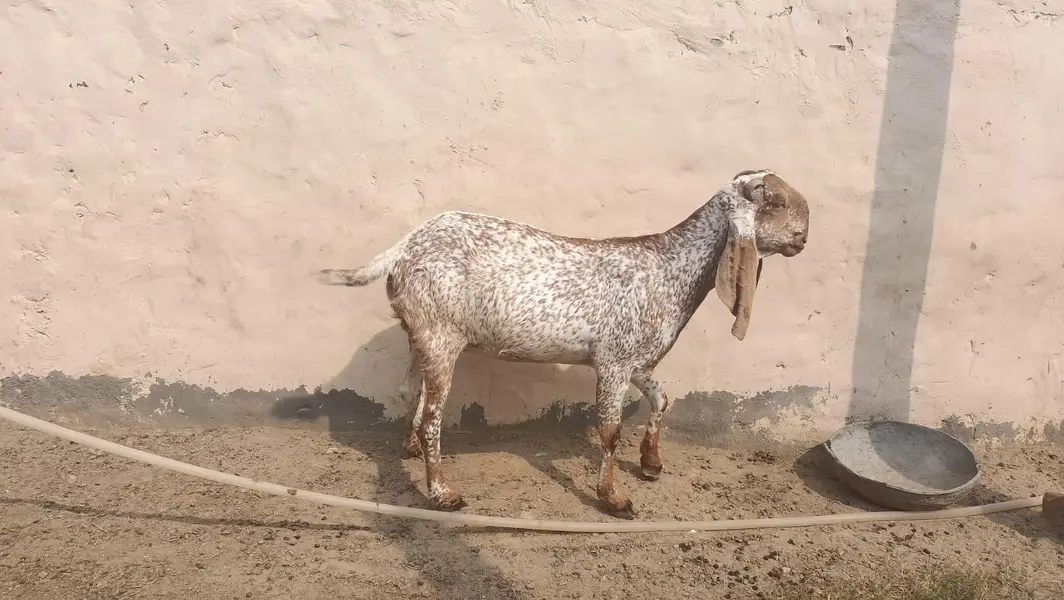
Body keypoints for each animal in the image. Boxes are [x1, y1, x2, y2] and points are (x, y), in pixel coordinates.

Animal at [317, 169, 810, 519]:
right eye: (775, 200)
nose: (803, 237)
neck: (669, 267)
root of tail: (401, 250)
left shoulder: (636, 361)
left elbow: (661, 399)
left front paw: (651, 462)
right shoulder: (614, 360)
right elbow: (609, 431)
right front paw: (614, 499)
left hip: (421, 334)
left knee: (410, 393)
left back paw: (411, 452)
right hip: (441, 338)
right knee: (431, 418)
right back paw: (442, 493)